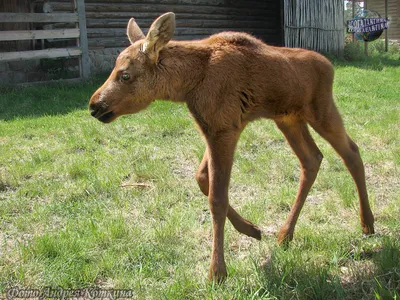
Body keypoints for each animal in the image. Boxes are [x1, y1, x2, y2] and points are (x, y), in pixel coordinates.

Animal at [88, 12, 376, 282]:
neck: (188, 84)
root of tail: (330, 66)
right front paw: (251, 229)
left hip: (321, 110)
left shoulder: (224, 129)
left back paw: (367, 223)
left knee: (351, 152)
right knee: (312, 159)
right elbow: (201, 178)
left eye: (125, 74)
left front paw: (217, 271)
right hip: (288, 119)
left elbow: (217, 198)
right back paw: (285, 234)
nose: (94, 105)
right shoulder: (212, 128)